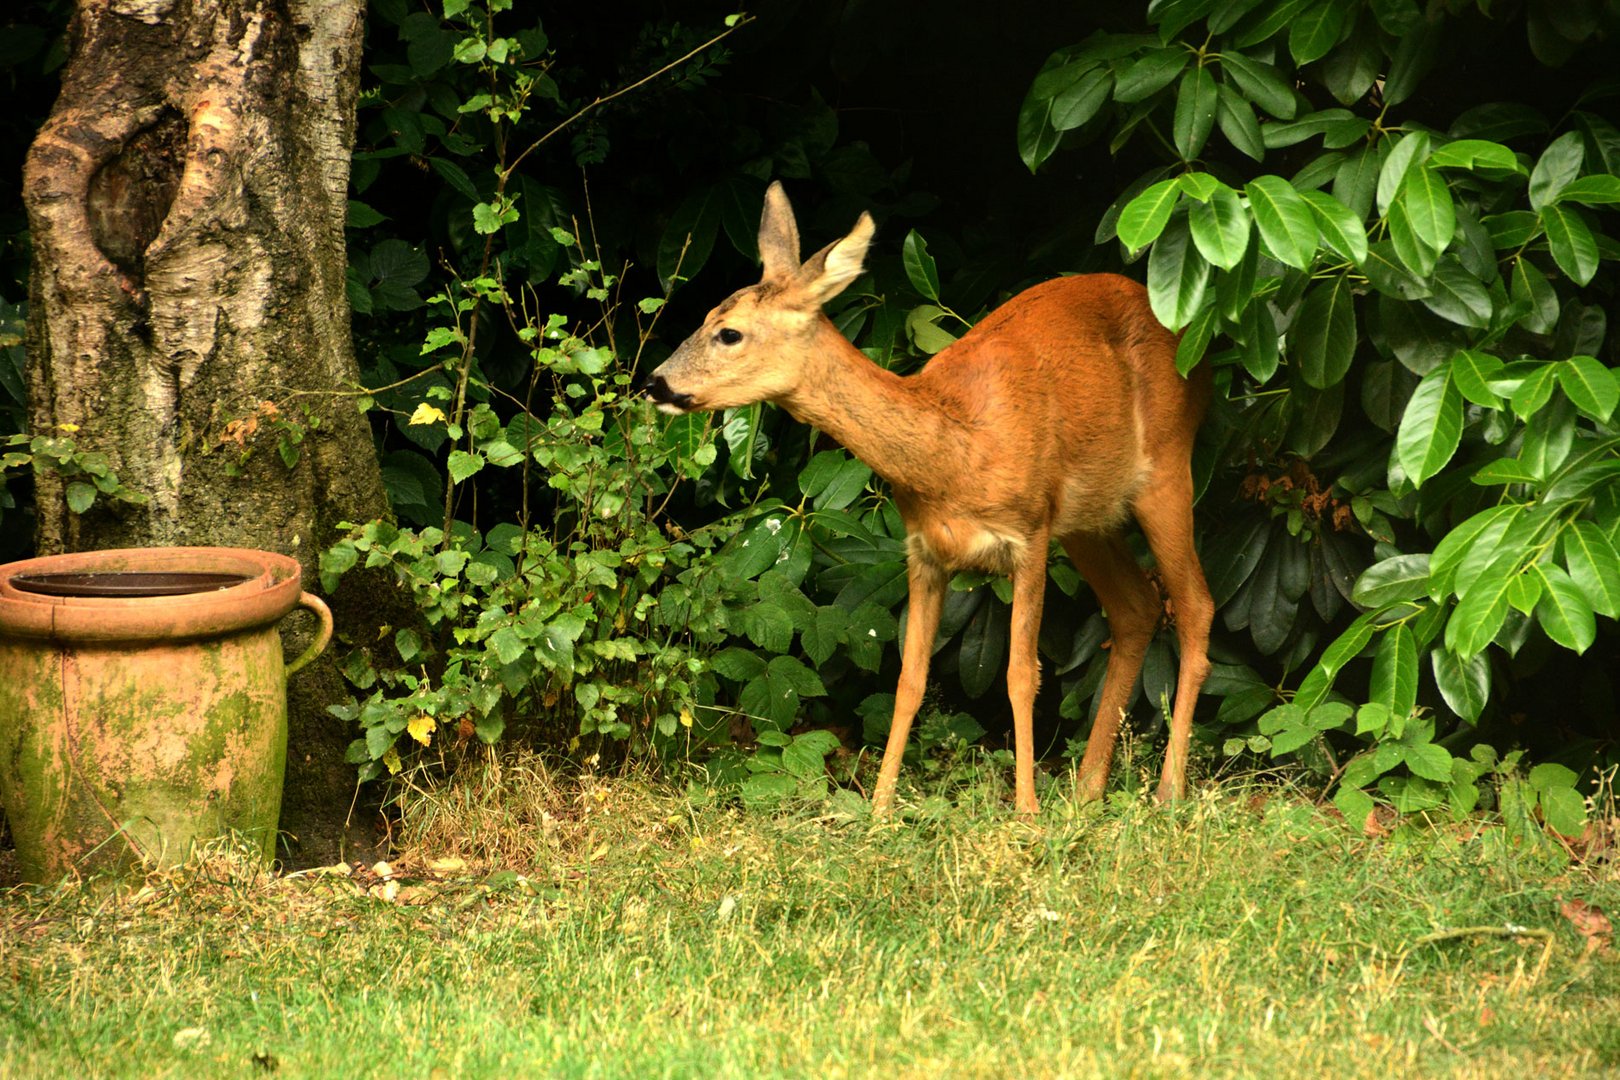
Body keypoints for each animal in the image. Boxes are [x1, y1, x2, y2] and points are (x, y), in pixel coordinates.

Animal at [644, 183, 1218, 809]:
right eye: (704, 317)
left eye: (729, 332)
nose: (655, 382)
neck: (954, 455)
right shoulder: (924, 552)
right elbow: (909, 678)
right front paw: (878, 811)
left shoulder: (1030, 534)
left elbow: (1021, 674)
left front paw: (1025, 811)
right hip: (1089, 520)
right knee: (1137, 607)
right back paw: (1088, 790)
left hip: (1167, 468)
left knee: (1195, 605)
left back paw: (1167, 790)